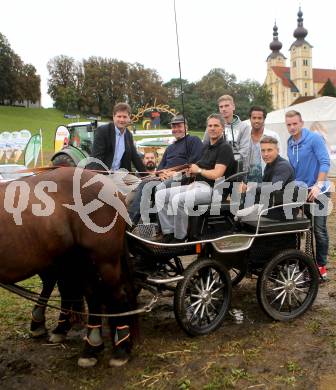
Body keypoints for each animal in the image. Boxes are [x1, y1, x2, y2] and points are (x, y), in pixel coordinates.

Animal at [0, 166, 136, 368]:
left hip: (105, 260)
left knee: (116, 296)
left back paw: (120, 349)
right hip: (77, 260)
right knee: (91, 295)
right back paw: (90, 347)